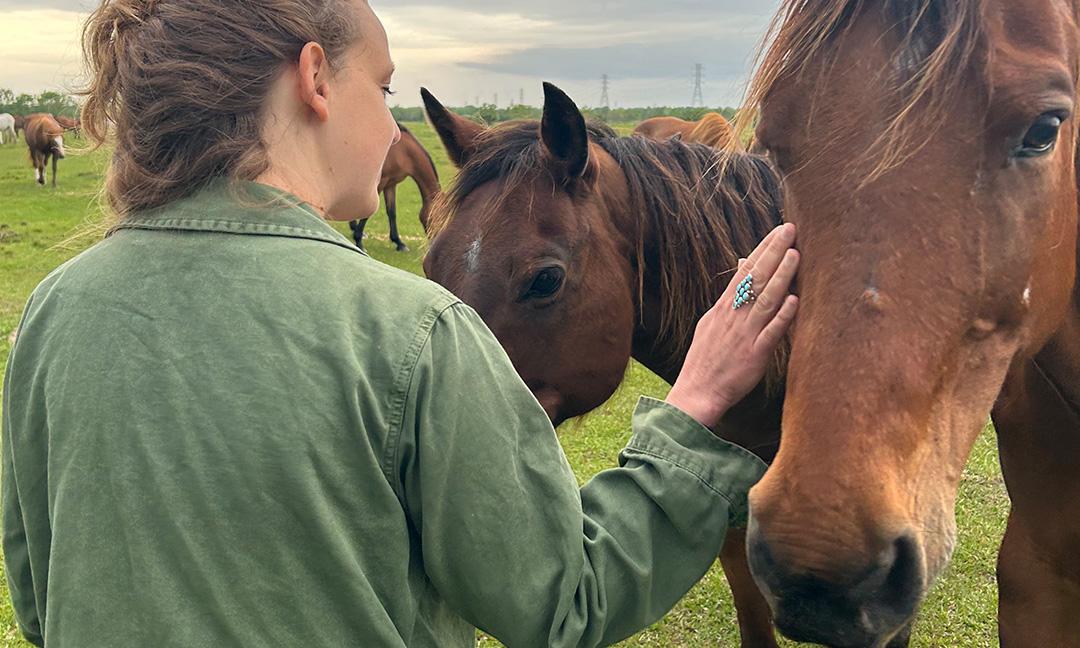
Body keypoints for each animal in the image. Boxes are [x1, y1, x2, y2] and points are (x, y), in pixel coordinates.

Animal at [348, 123, 440, 252]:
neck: (402, 150)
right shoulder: (380, 183)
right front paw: (358, 241)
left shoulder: (391, 184)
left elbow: (391, 212)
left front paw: (399, 243)